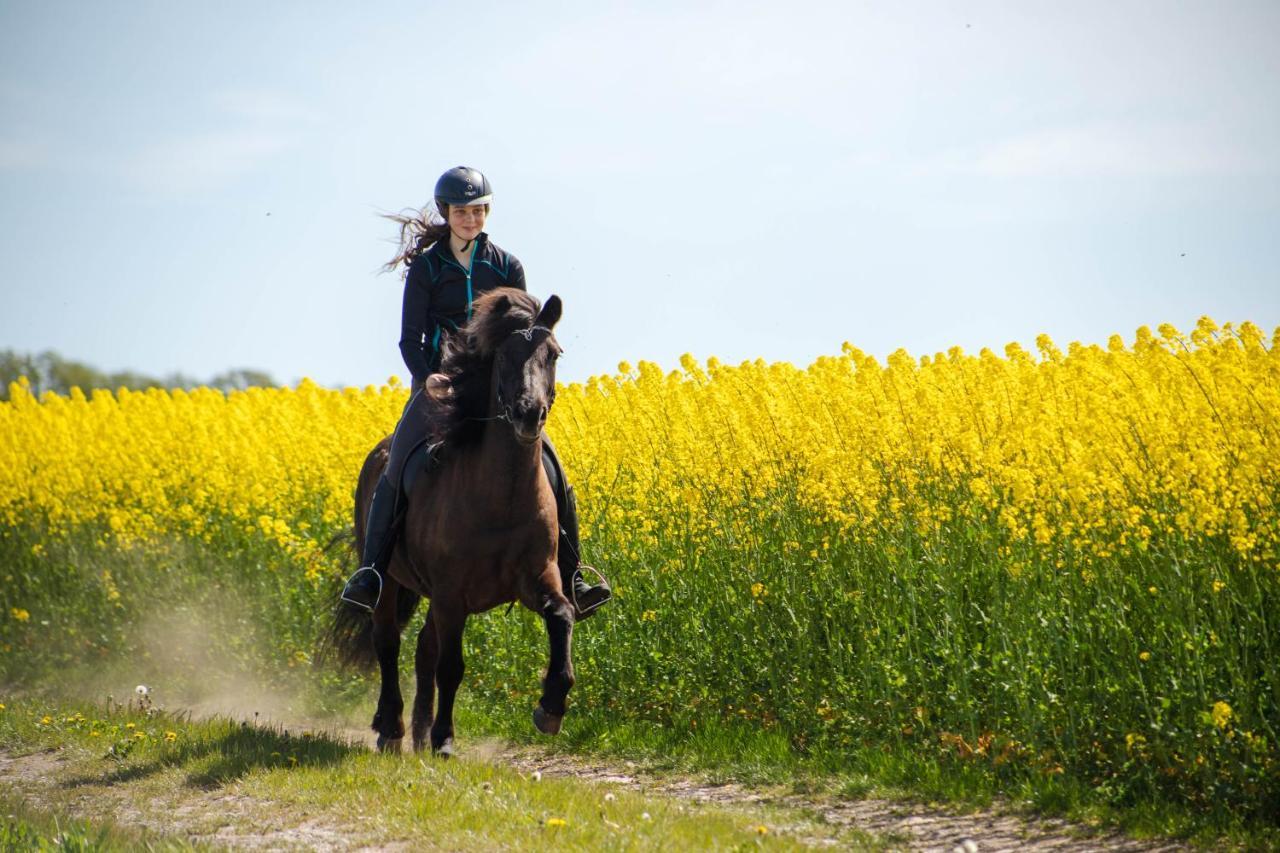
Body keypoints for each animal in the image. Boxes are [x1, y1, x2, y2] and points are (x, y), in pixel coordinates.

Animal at [327, 289, 573, 753]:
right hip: (390, 583)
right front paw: (445, 738)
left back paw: (419, 732)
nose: (529, 414)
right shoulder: (450, 593)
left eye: (552, 354)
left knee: (423, 647)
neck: (502, 499)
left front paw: (550, 707)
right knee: (388, 643)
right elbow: (452, 666)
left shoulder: (537, 577)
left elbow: (562, 614)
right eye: (505, 356)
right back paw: (393, 729)